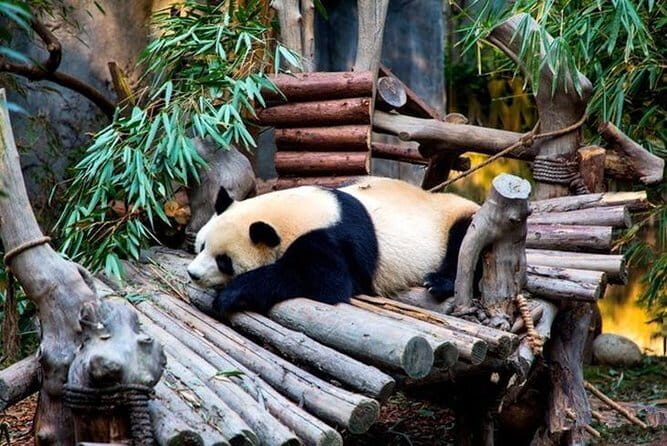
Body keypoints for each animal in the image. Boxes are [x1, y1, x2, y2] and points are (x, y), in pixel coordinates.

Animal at [187, 176, 479, 316]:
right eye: (202, 245)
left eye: (224, 261)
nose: (193, 274)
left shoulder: (332, 238)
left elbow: (321, 281)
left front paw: (230, 295)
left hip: (454, 219)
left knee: (462, 245)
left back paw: (437, 282)